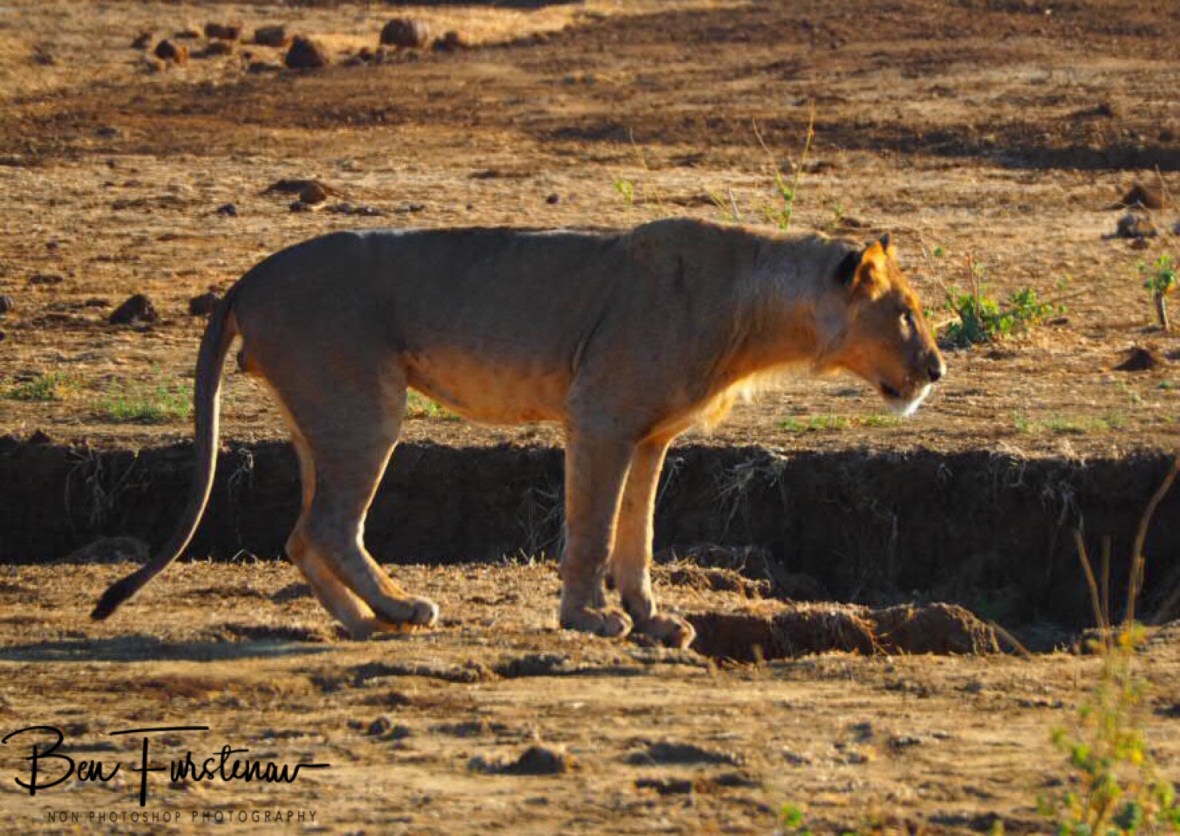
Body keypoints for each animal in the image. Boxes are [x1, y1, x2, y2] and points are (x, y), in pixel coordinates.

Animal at [91, 218, 945, 648]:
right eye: (904, 314)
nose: (937, 368)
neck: (756, 314)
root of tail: (248, 275)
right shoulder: (601, 417)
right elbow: (592, 532)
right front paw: (588, 618)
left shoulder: (651, 438)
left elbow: (637, 536)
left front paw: (652, 619)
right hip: (365, 405)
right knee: (331, 524)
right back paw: (400, 609)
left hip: (319, 415)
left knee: (303, 532)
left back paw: (362, 620)